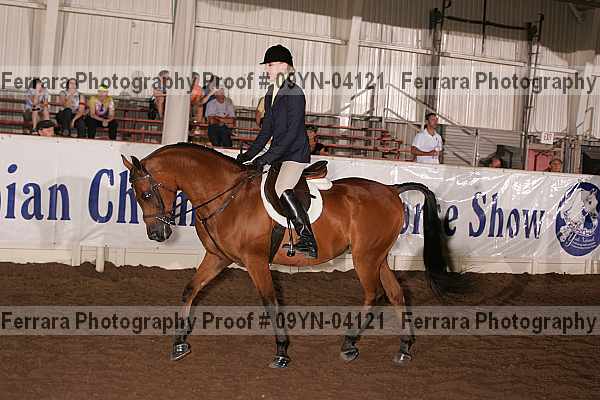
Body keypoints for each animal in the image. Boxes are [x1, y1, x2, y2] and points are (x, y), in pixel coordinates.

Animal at [121, 143, 459, 368]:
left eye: (146, 194)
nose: (157, 235)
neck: (227, 197)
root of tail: (392, 189)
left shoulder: (255, 261)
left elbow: (270, 301)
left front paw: (282, 351)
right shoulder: (218, 257)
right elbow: (190, 290)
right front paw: (179, 343)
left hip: (365, 257)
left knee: (373, 293)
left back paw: (350, 343)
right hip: (378, 256)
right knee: (396, 293)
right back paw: (404, 347)